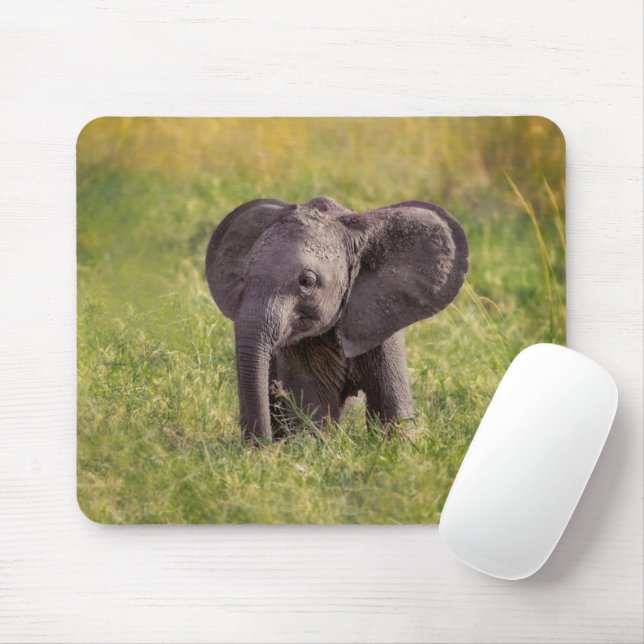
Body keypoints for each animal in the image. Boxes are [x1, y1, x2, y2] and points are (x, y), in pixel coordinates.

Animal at [205, 196, 468, 443]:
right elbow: (314, 409)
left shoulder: (381, 323)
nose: (262, 446)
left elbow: (390, 410)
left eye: (307, 282)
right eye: (244, 276)